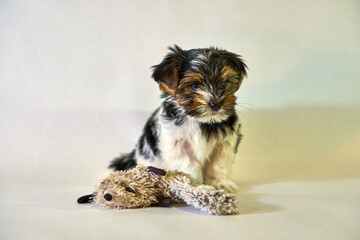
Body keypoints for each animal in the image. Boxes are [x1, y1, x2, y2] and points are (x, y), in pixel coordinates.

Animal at [108, 45, 246, 192]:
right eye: (194, 85)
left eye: (224, 84)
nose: (216, 104)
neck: (200, 121)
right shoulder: (175, 142)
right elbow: (188, 163)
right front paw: (193, 186)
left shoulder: (225, 142)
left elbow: (219, 163)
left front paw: (220, 183)